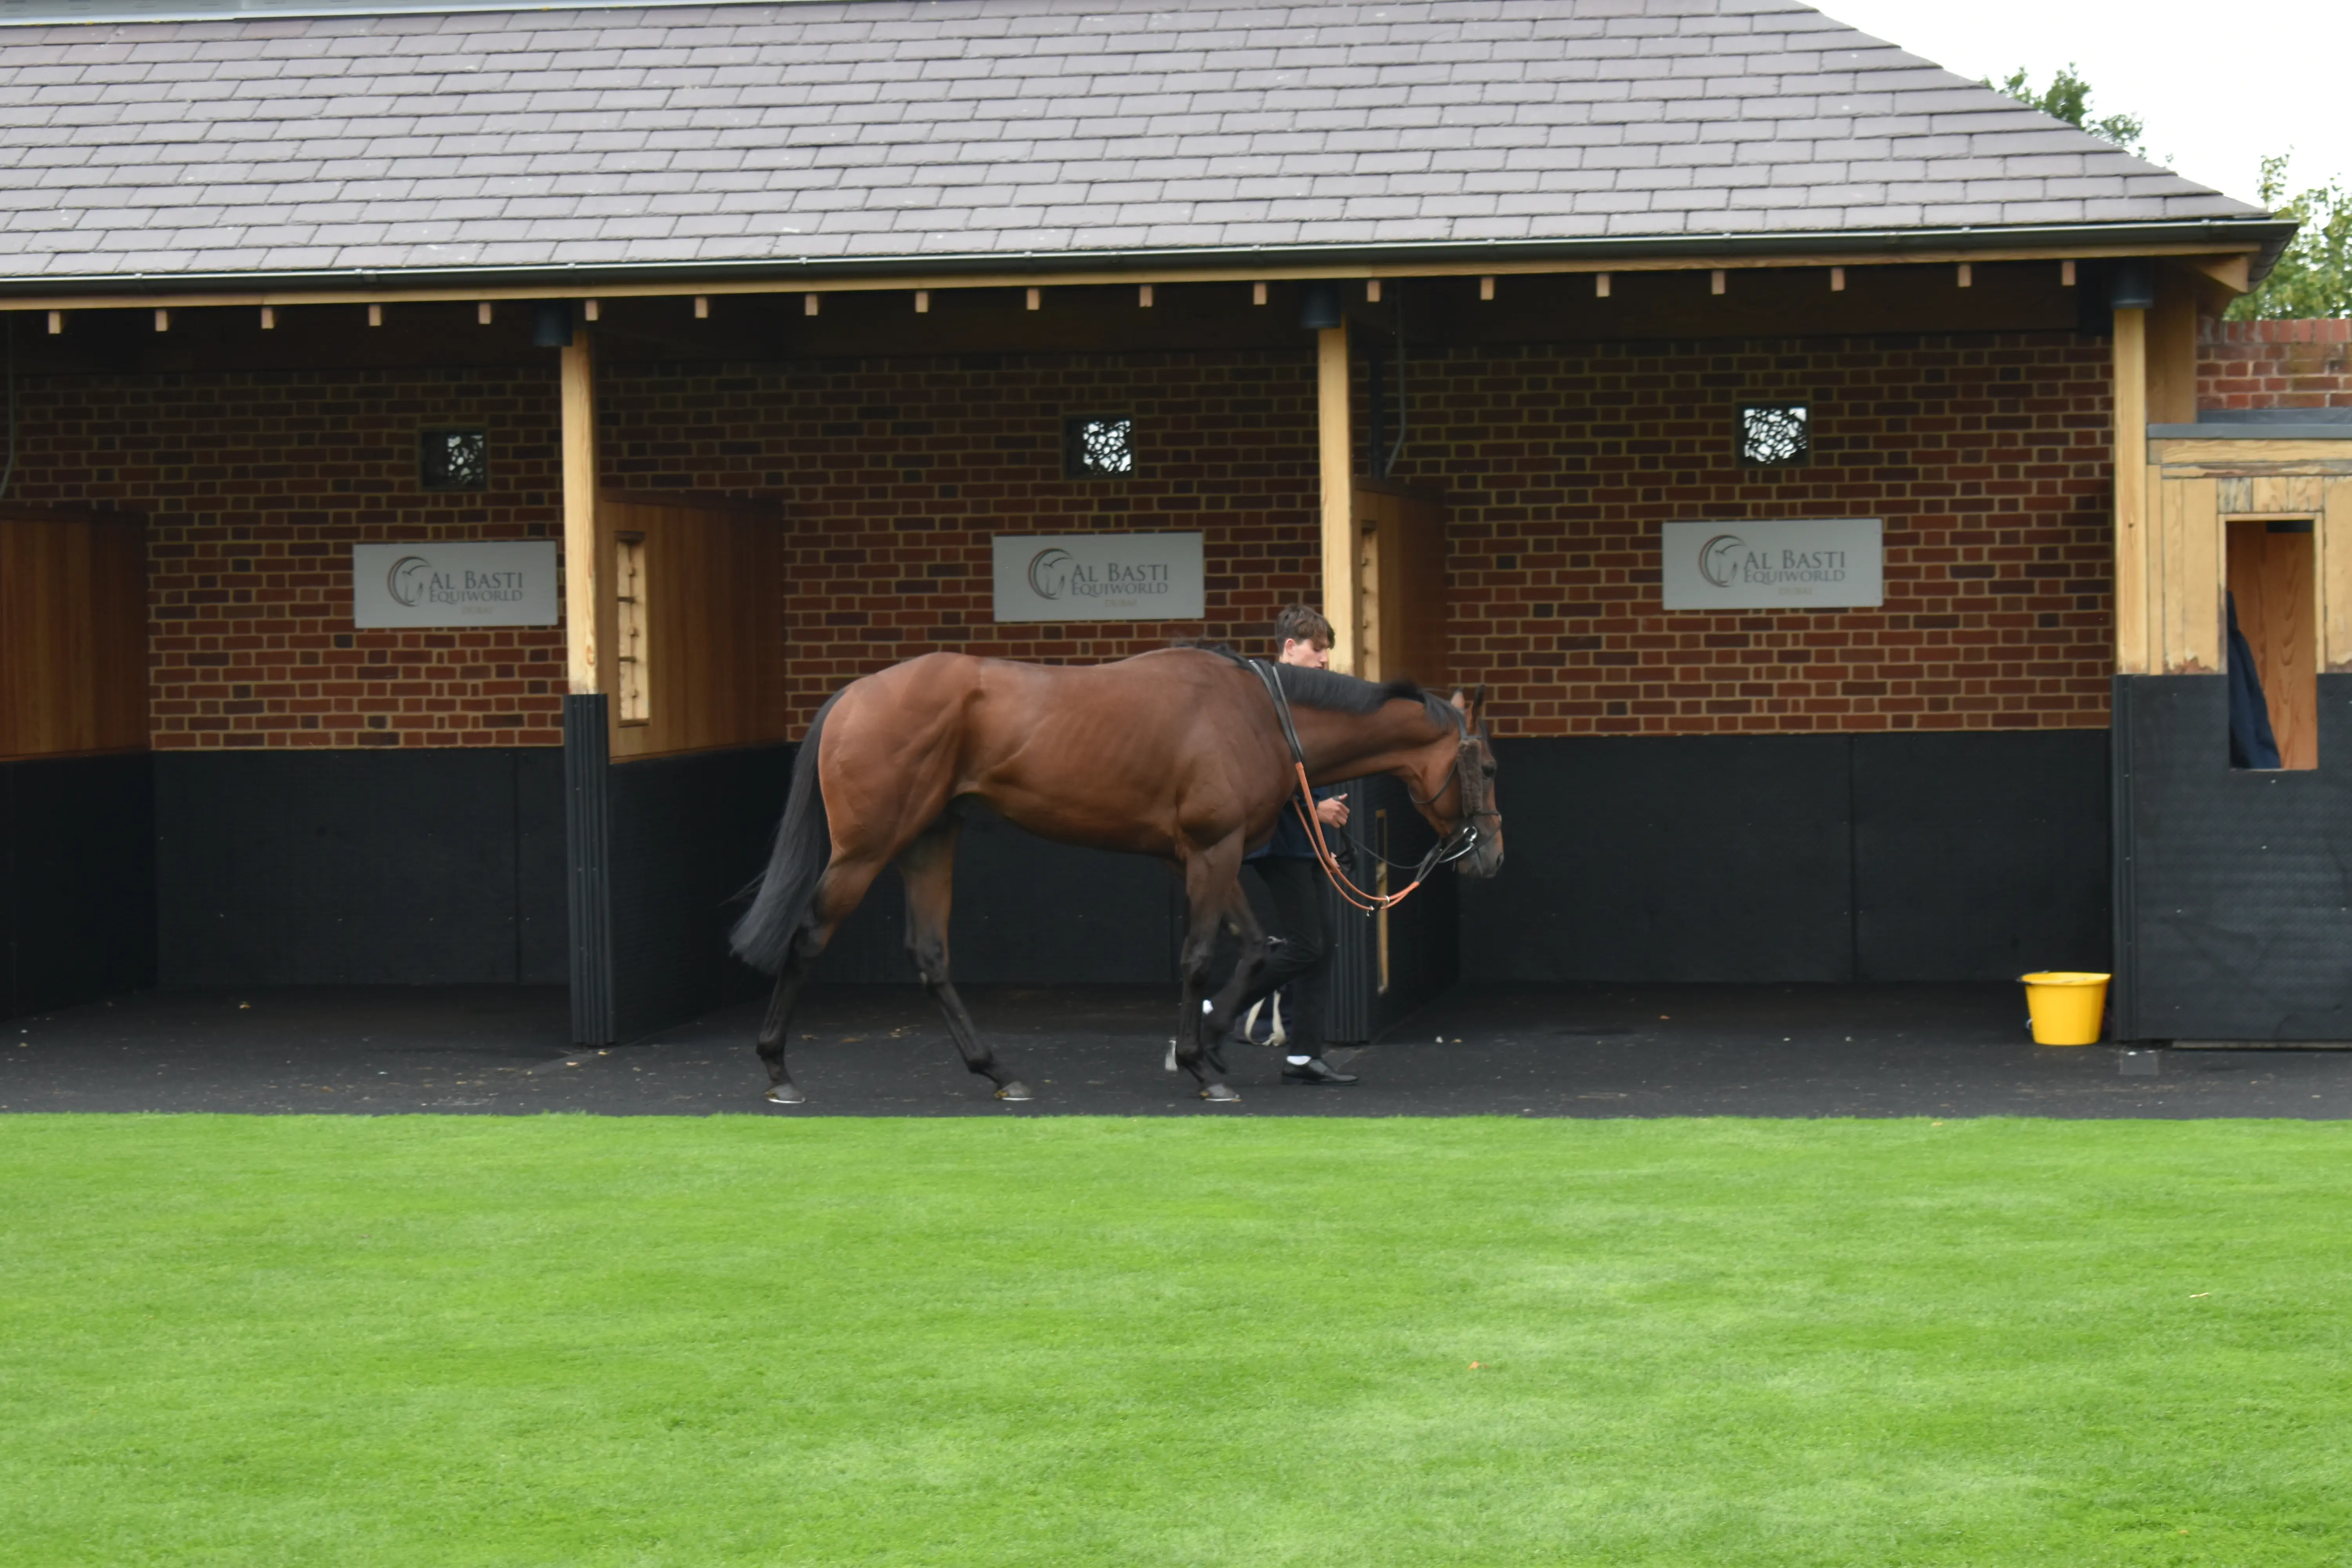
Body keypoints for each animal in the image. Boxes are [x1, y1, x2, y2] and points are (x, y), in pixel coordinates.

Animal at [729, 649, 1505, 1105]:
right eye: (1492, 768)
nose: (1490, 856)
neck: (1258, 713)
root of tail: (855, 693)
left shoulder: (1207, 857)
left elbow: (1256, 946)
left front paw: (1209, 1042)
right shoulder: (1213, 850)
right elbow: (1200, 957)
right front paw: (1200, 1063)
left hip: (929, 838)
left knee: (930, 955)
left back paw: (998, 1072)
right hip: (866, 847)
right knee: (809, 935)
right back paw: (778, 1070)